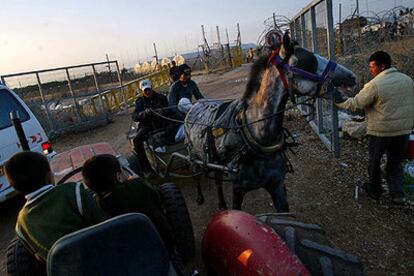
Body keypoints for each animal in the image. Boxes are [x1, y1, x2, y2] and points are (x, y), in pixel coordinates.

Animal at [184, 32, 356, 211]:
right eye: (309, 60)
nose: (351, 76)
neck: (257, 134)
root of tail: (192, 106)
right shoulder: (238, 189)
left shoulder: (277, 185)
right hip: (193, 155)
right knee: (196, 174)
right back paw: (199, 196)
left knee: (217, 178)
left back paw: (221, 203)